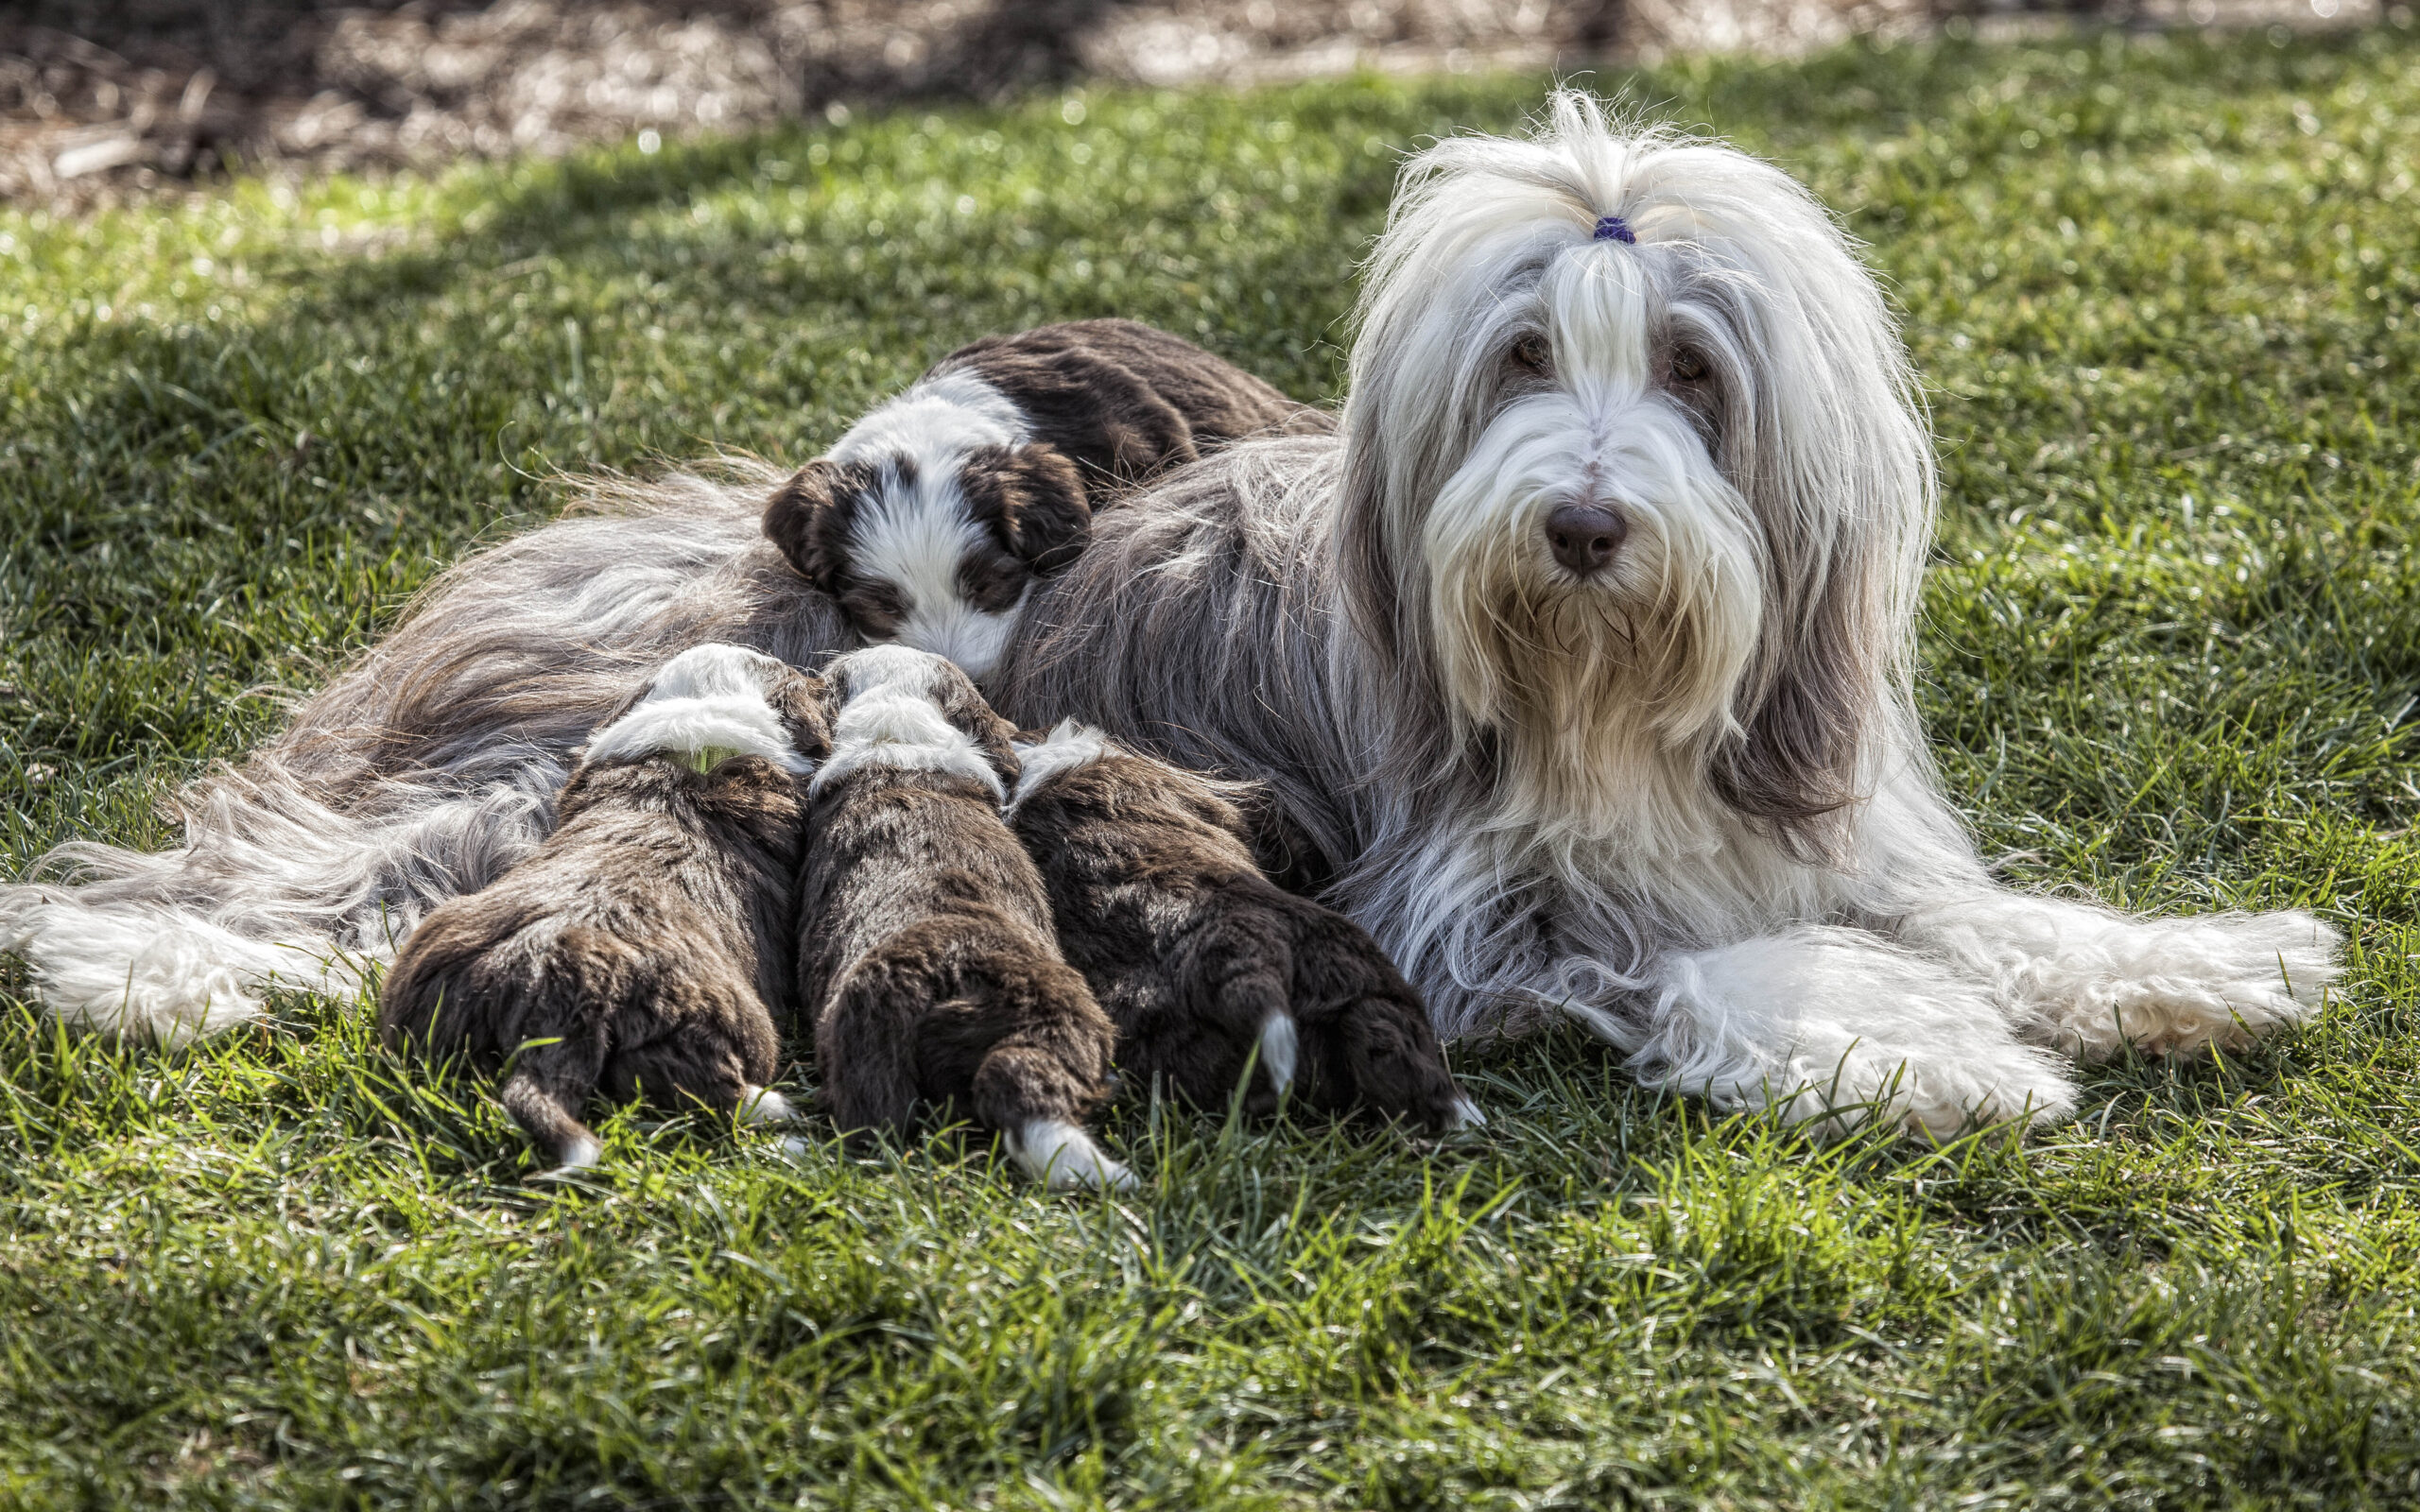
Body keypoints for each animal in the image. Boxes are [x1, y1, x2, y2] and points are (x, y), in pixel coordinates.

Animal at [377, 643, 827, 1176]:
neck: (692, 735)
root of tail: (555, 998)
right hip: (712, 1022)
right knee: (714, 1092)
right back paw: (785, 1119)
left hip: (428, 1000)